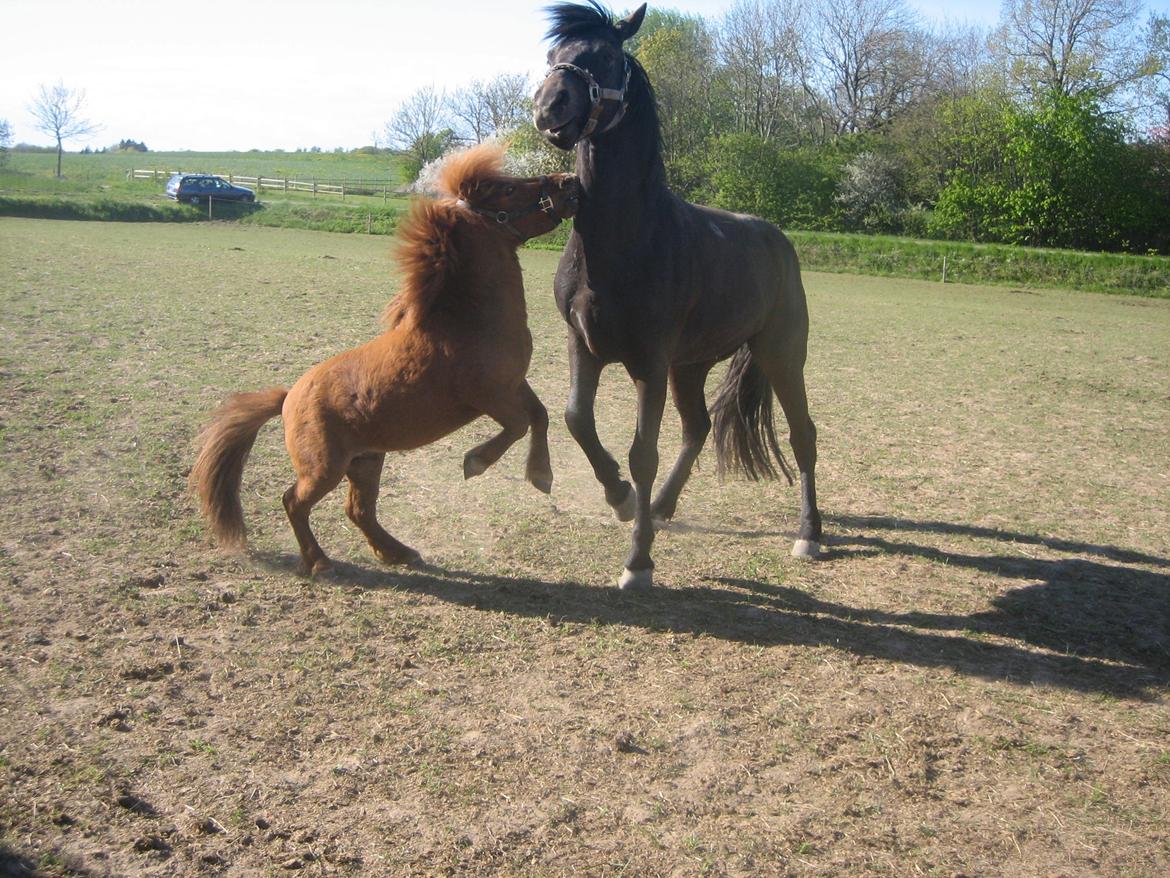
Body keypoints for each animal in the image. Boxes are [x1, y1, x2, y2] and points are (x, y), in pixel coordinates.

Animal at [187, 146, 580, 578]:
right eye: (508, 189)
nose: (568, 181)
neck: (468, 322)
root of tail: (289, 397)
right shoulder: (490, 397)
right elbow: (518, 425)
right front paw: (475, 462)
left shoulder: (514, 385)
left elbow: (540, 416)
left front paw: (541, 476)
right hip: (325, 468)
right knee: (295, 502)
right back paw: (321, 562)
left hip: (366, 460)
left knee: (358, 510)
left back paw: (397, 552)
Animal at [535, 3, 823, 592]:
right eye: (553, 55)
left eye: (606, 56)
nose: (550, 106)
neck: (626, 238)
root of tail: (778, 241)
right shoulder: (584, 346)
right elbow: (577, 419)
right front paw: (622, 500)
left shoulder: (648, 362)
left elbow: (642, 452)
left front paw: (638, 562)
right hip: (689, 366)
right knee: (698, 428)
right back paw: (661, 507)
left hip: (781, 354)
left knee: (802, 435)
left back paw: (809, 535)